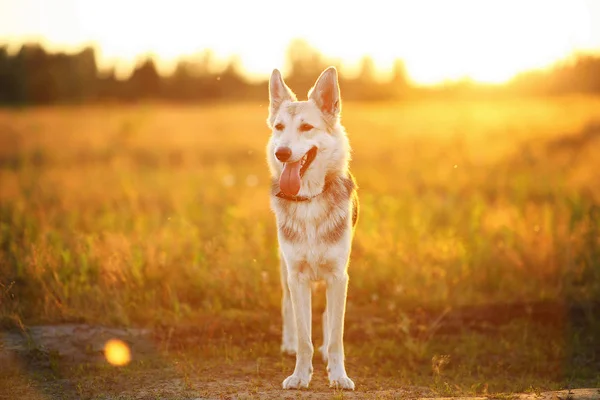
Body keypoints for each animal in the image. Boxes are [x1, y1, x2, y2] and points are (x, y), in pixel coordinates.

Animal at [266, 67, 358, 390]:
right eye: (279, 127)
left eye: (306, 127)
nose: (282, 153)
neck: (309, 201)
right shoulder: (298, 278)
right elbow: (305, 337)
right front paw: (300, 375)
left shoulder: (339, 277)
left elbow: (336, 337)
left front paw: (338, 375)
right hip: (284, 272)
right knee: (286, 307)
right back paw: (289, 343)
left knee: (329, 318)